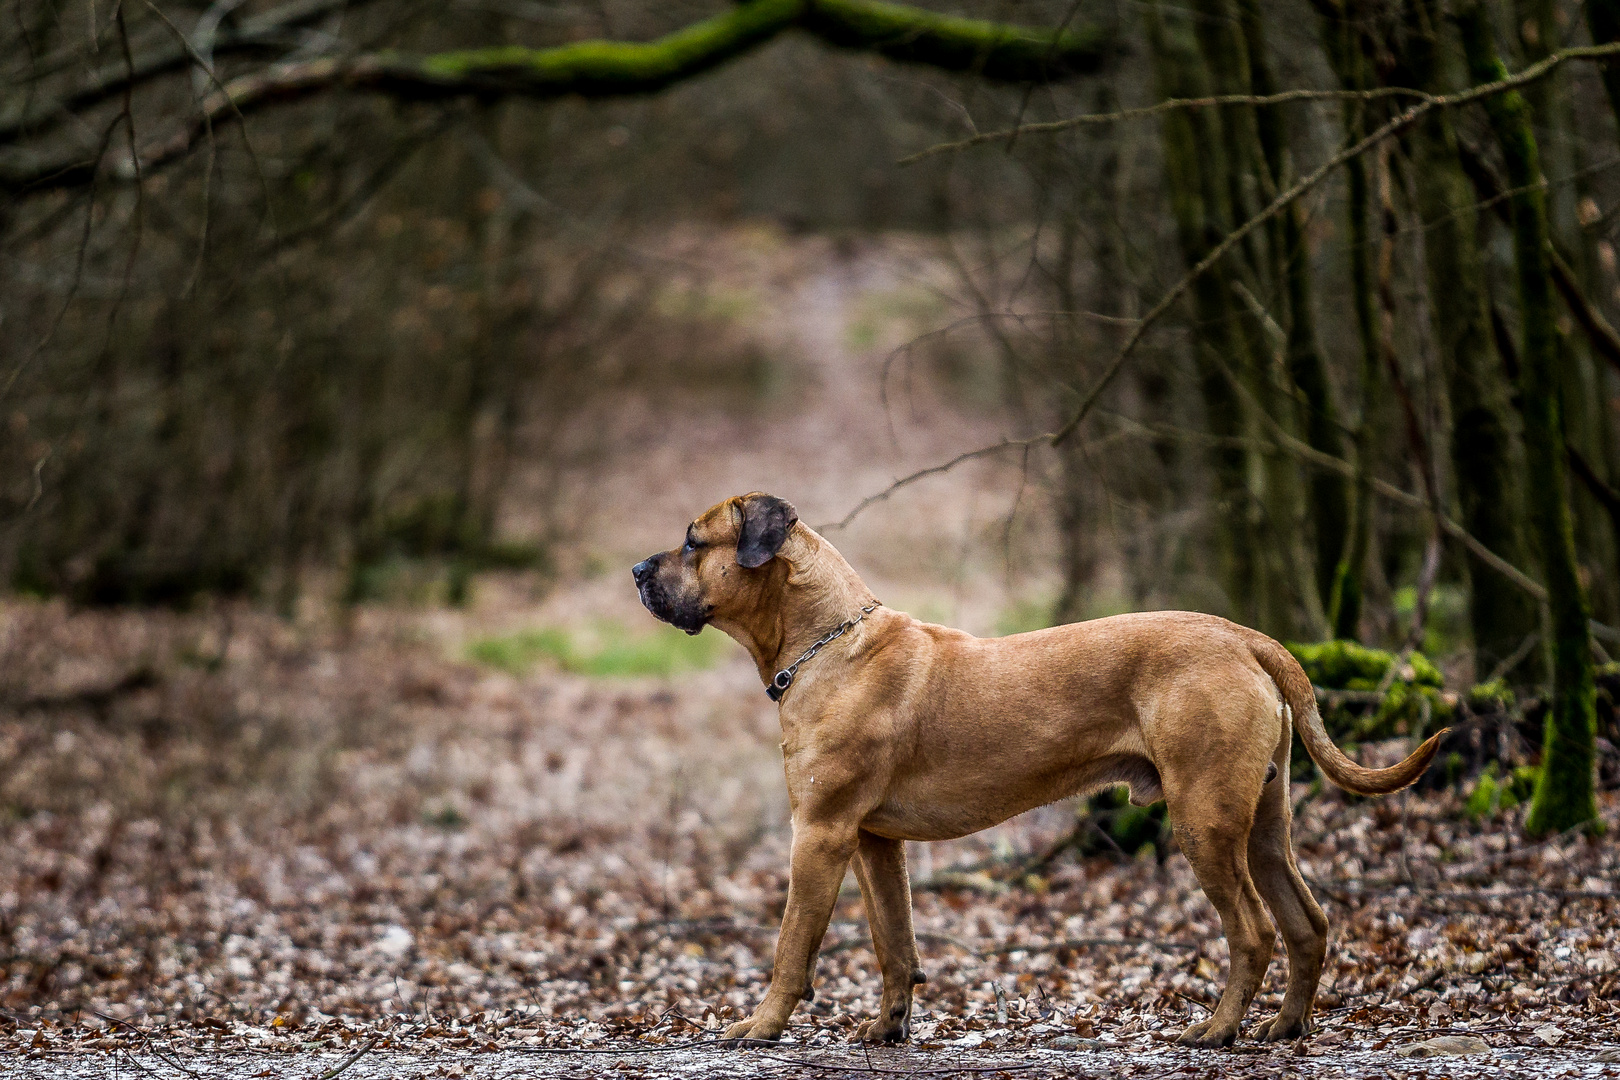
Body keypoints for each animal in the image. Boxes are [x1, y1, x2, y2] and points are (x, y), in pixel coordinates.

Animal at [628, 495, 1445, 1049]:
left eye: (693, 542)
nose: (635, 568)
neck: (826, 643)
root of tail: (1243, 636)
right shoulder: (874, 843)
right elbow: (896, 943)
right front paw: (888, 1027)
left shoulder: (821, 835)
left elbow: (792, 945)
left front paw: (759, 1026)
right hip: (1265, 824)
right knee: (1307, 923)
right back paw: (1286, 1026)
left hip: (1205, 819)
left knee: (1251, 930)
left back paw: (1217, 1030)